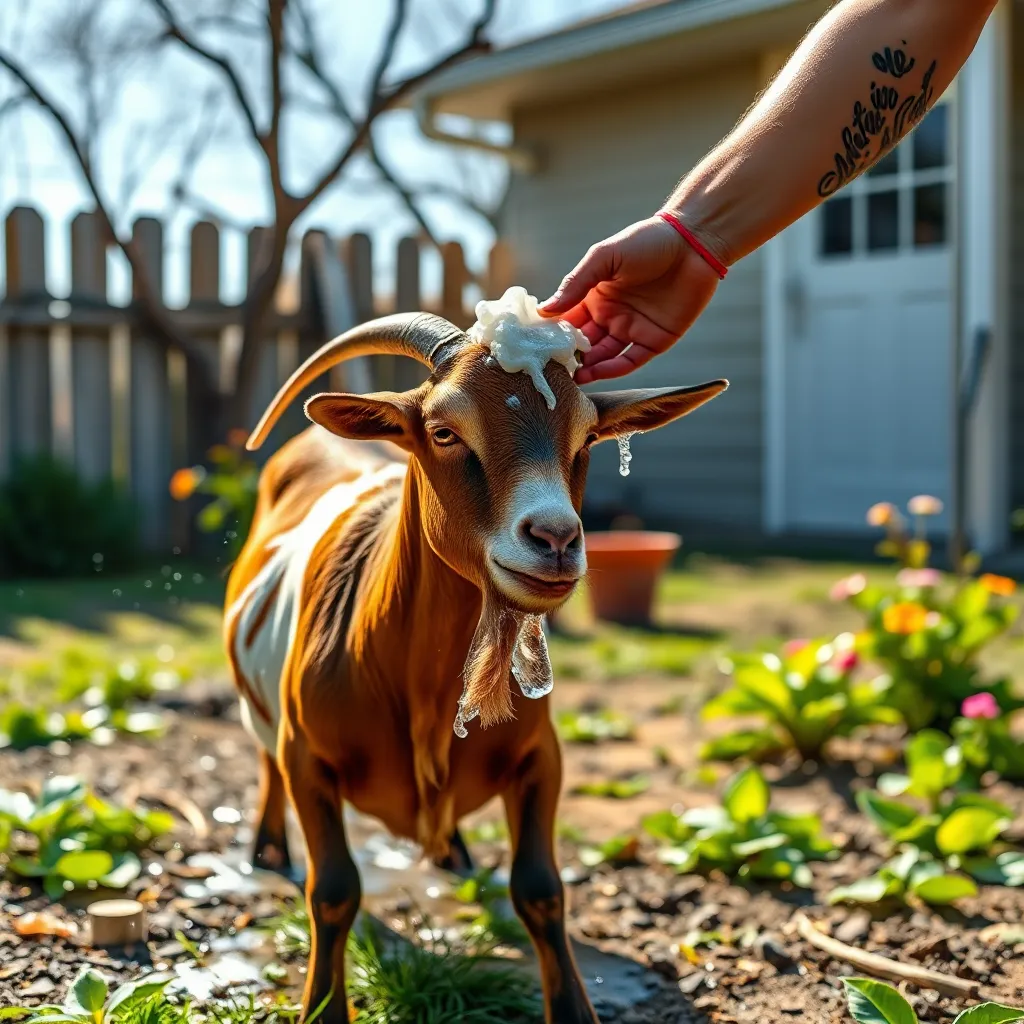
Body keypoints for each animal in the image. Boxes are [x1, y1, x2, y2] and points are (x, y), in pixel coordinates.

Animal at [224, 312, 727, 1024]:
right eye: (444, 431)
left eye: (588, 436)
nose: (556, 539)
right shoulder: (308, 758)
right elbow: (333, 890)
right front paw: (322, 1007)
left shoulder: (542, 756)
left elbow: (541, 889)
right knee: (265, 758)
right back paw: (267, 849)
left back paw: (453, 853)